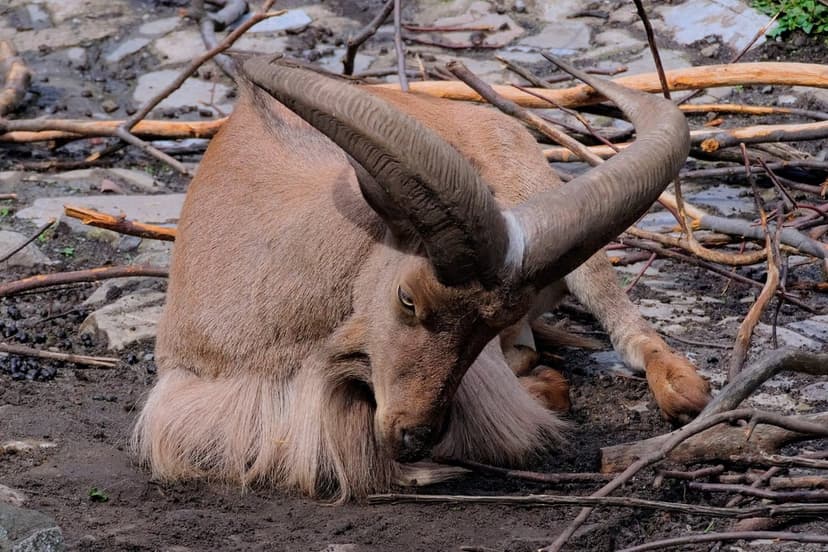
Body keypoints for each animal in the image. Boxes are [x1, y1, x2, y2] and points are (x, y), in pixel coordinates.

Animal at [133, 55, 711, 500]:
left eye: (484, 327)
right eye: (407, 299)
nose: (414, 436)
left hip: (548, 207)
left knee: (627, 326)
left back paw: (683, 389)